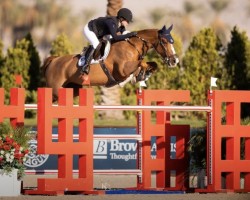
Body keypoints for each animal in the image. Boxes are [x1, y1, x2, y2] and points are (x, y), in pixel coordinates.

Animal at [42, 24, 178, 101]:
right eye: (164, 41)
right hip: (55, 90)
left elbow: (153, 64)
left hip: (72, 89)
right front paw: (142, 73)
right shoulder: (122, 70)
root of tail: (54, 60)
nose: (174, 61)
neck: (133, 46)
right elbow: (141, 62)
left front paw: (144, 74)